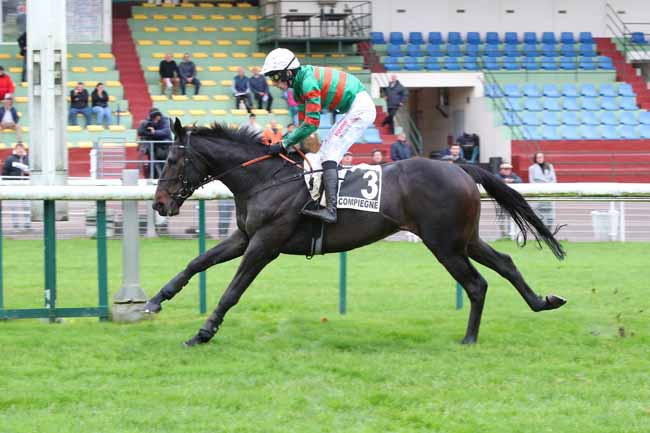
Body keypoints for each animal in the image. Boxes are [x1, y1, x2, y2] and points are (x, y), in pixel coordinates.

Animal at [147, 120, 560, 346]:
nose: (159, 203)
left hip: (444, 244)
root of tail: (460, 166)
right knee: (505, 264)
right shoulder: (246, 237)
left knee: (476, 284)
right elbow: (197, 262)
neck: (265, 179)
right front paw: (154, 301)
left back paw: (469, 337)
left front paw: (202, 333)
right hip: (464, 238)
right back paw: (543, 301)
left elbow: (232, 291)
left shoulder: (265, 245)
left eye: (172, 159)